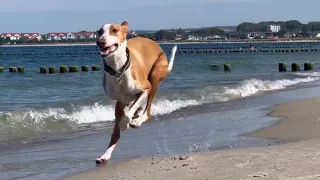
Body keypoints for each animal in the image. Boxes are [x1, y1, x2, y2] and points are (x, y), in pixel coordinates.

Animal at [95, 20, 179, 164]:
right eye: (100, 32)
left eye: (114, 30)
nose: (100, 42)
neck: (118, 70)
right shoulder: (120, 101)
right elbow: (118, 126)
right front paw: (106, 154)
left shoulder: (145, 89)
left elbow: (128, 113)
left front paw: (126, 123)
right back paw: (106, 154)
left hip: (155, 76)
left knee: (148, 110)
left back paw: (139, 119)